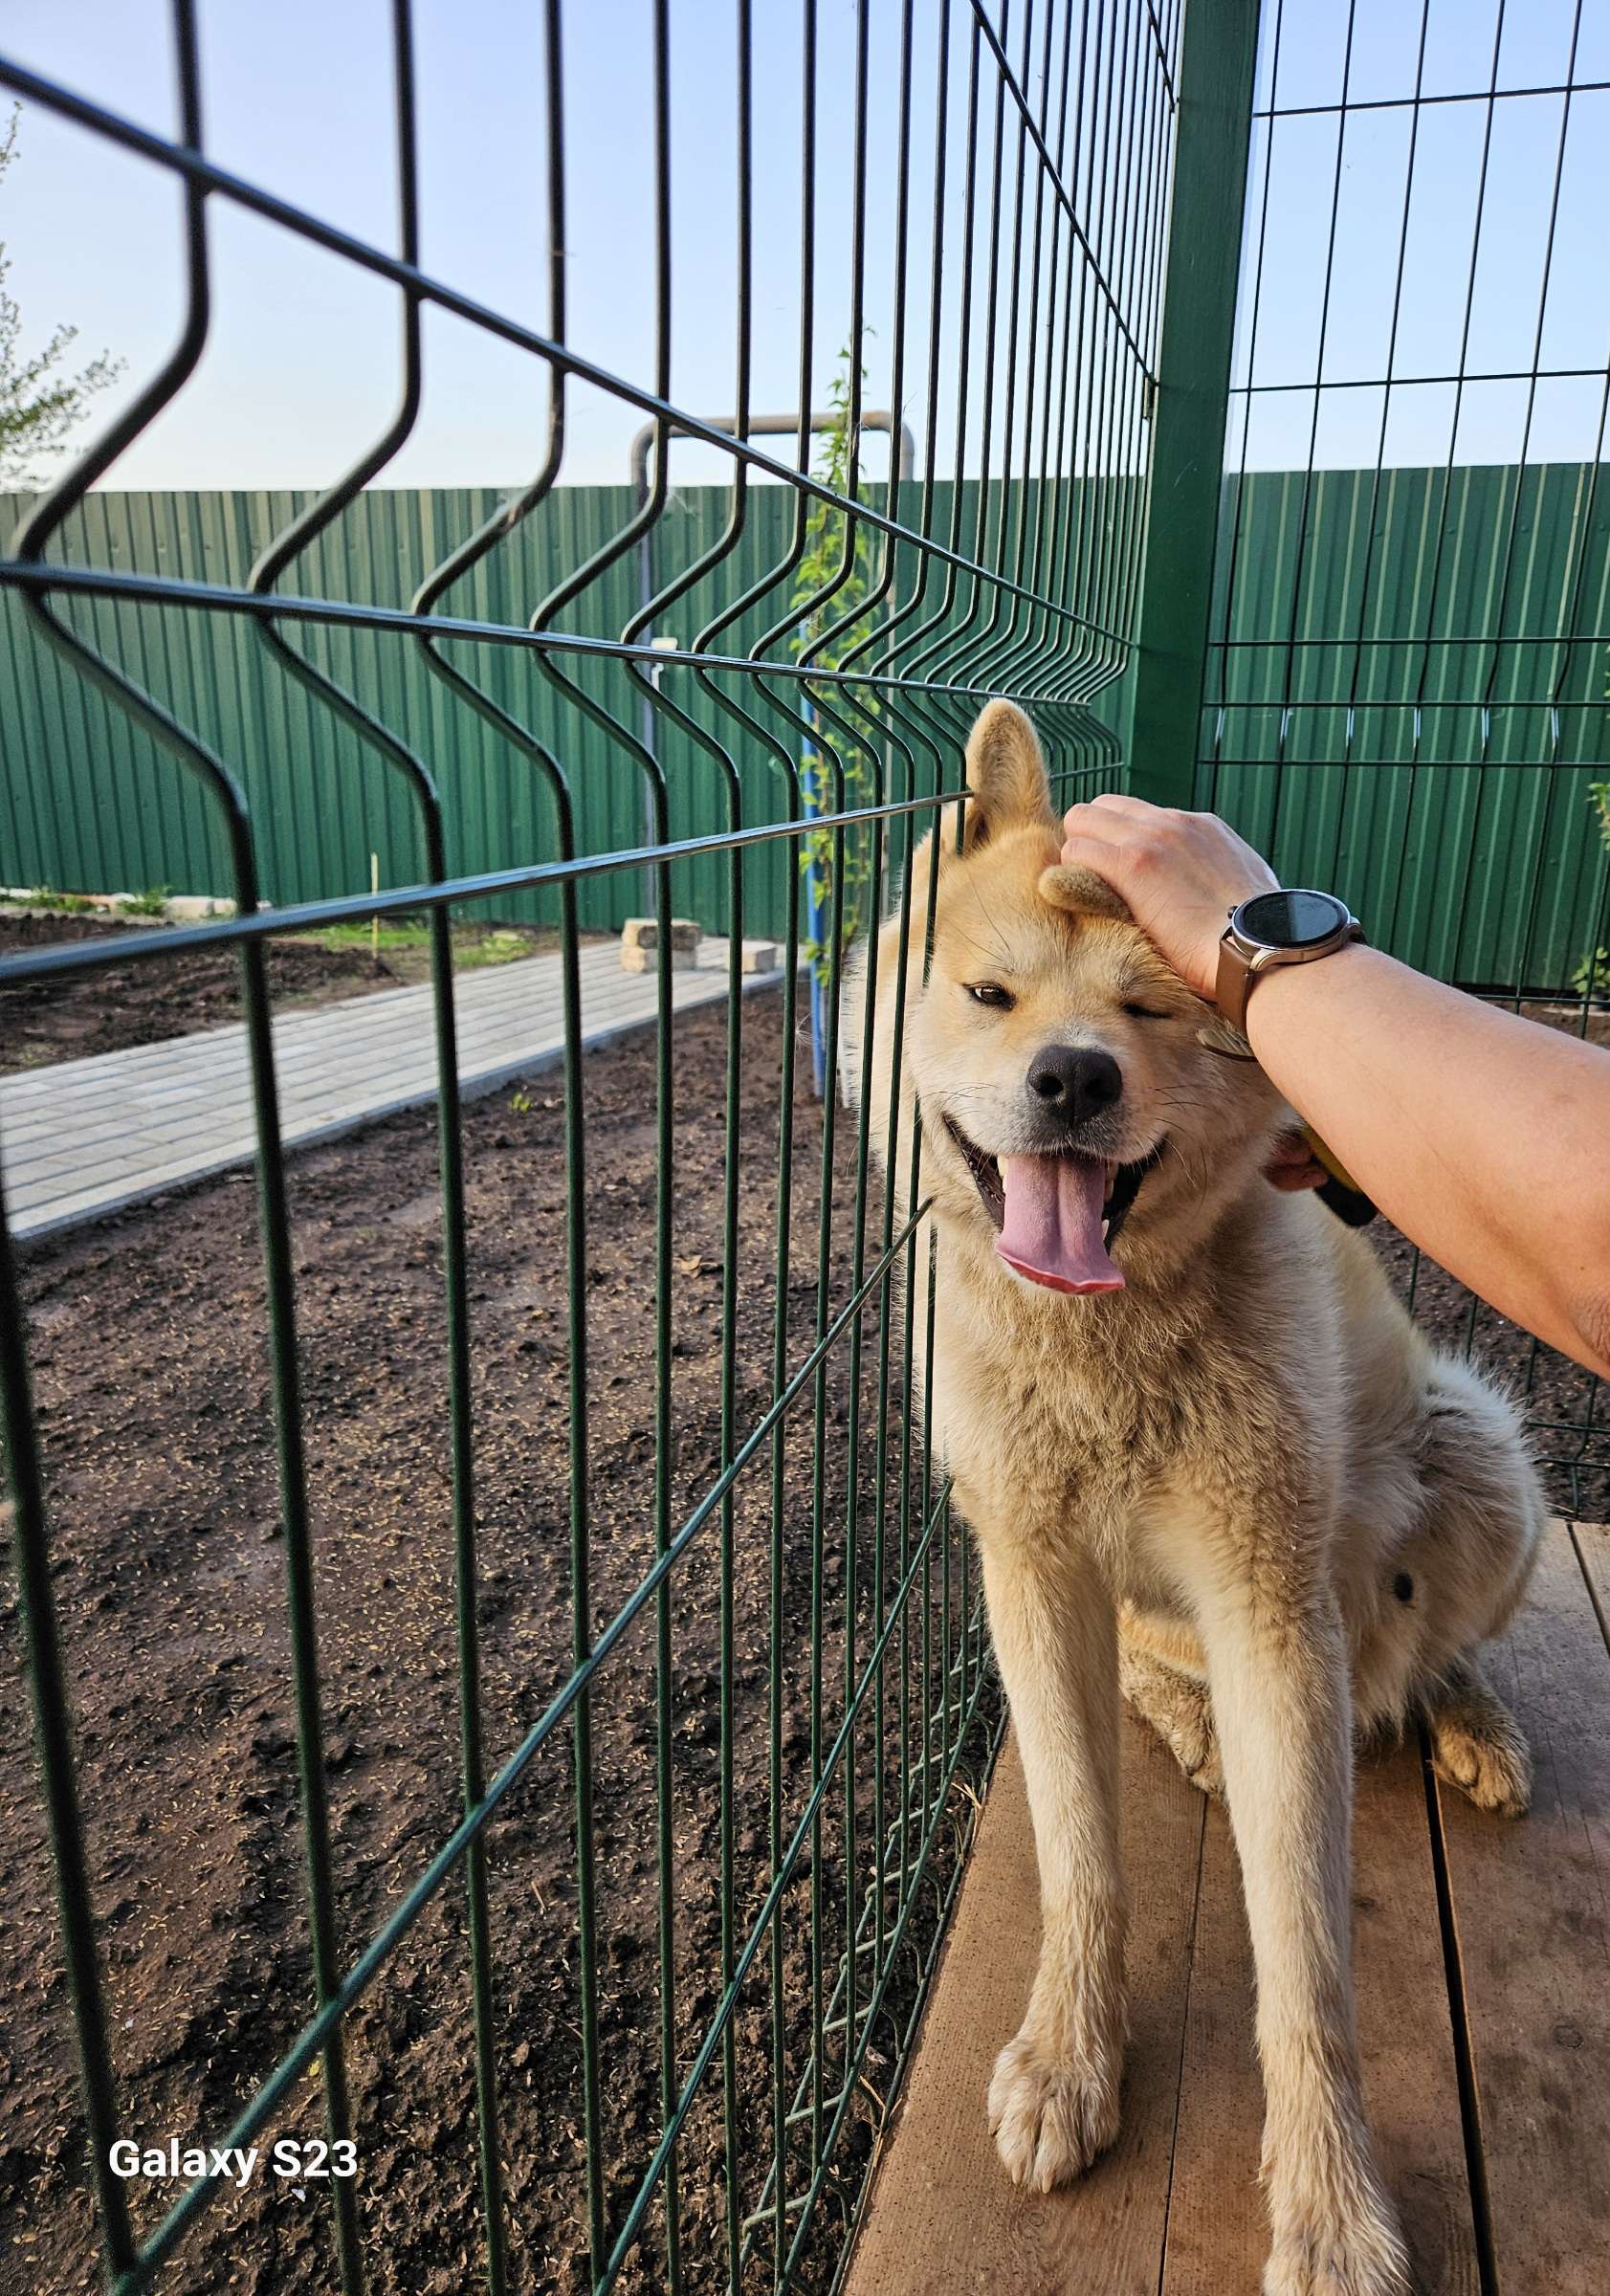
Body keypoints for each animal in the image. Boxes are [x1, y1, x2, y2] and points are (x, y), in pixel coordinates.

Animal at [857, 700, 1545, 2296]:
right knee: (1154, 1675)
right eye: (987, 994)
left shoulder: (1270, 1605)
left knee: (1427, 1656)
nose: (1071, 1078)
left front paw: (1328, 2206)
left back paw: (1463, 1717)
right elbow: (1074, 1851)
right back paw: (1190, 1728)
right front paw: (1069, 2060)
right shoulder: (1030, 1567)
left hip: (1475, 1454)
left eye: (1153, 1011)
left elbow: (1303, 1961)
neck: (1104, 1348)